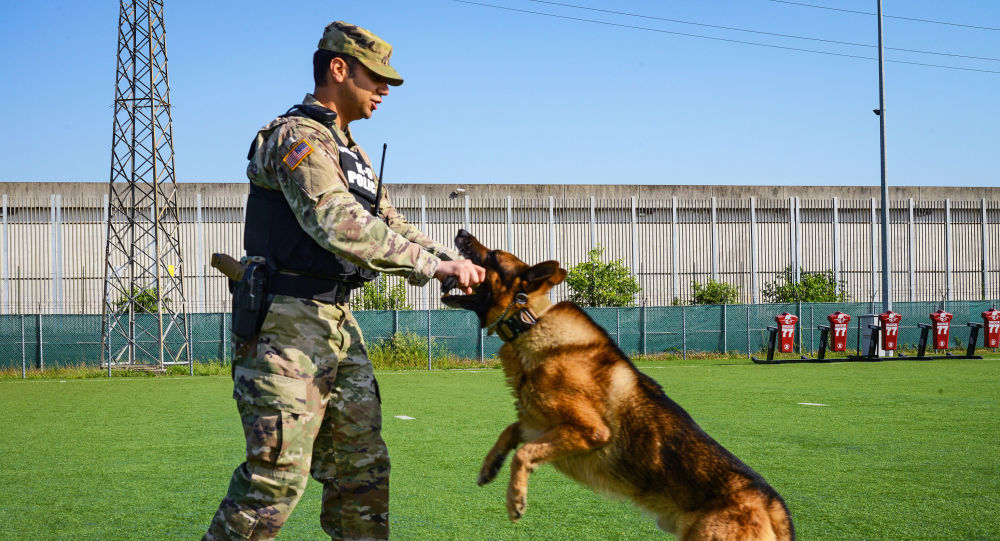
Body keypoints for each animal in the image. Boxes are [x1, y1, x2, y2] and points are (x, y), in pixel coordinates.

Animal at [442, 230, 792, 536]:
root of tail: (772, 504)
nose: (460, 231)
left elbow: (524, 453)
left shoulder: (588, 430)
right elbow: (511, 431)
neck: (529, 322)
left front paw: (515, 499)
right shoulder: (537, 424)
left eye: (492, 256)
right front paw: (490, 465)